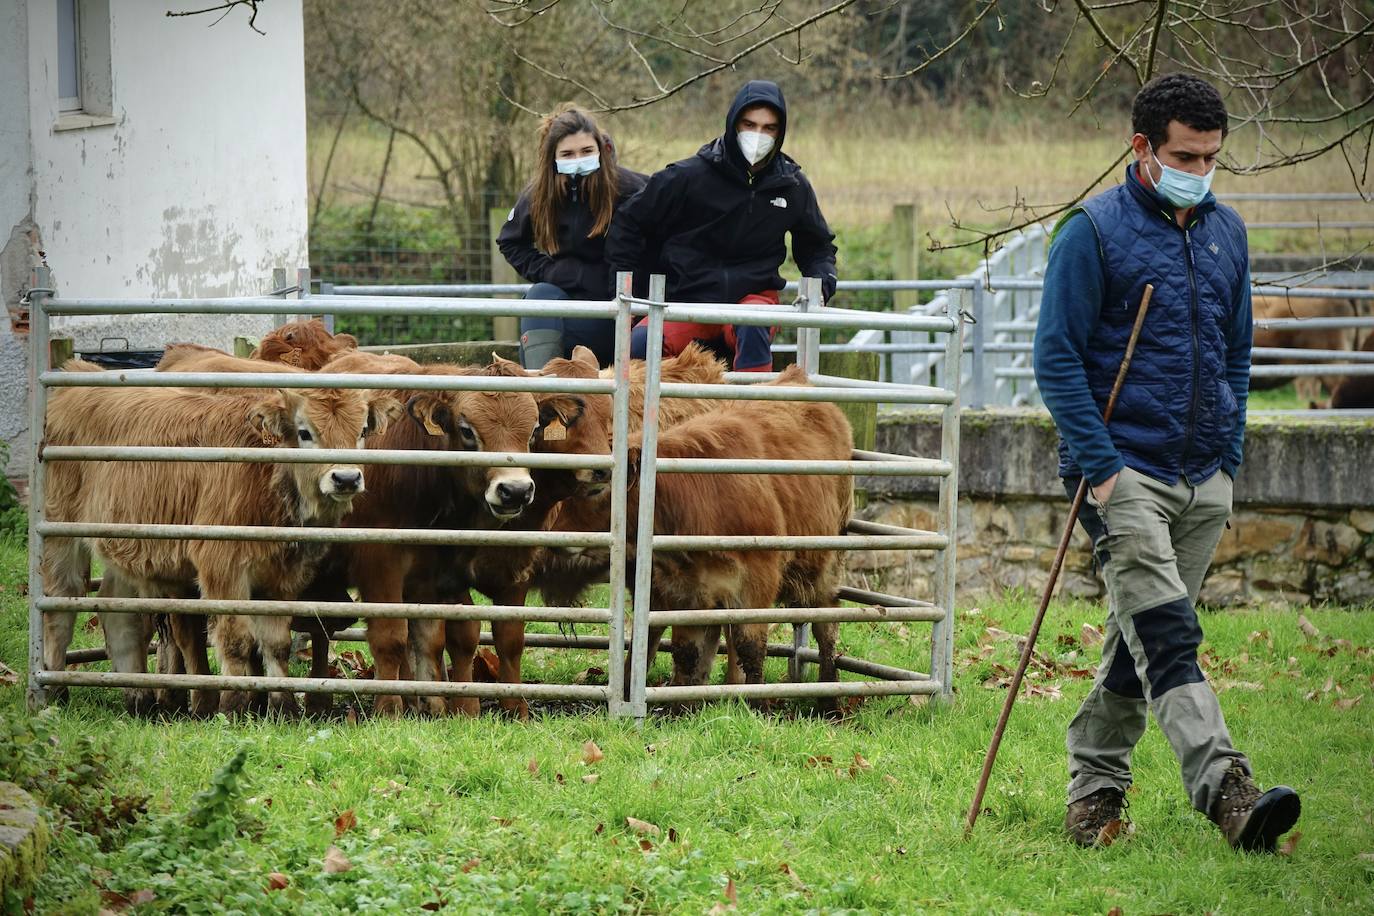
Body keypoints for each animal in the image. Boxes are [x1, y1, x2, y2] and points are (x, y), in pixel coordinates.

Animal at [42, 357, 398, 714]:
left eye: (361, 430)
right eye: (304, 432)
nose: (346, 478)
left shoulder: (282, 578)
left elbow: (276, 643)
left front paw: (283, 706)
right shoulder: (223, 569)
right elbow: (236, 640)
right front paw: (233, 704)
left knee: (121, 615)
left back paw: (139, 698)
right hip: (61, 535)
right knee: (60, 605)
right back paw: (54, 692)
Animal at [549, 368, 851, 708]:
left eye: (597, 488)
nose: (556, 537)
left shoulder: (756, 582)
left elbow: (750, 646)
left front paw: (758, 703)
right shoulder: (684, 590)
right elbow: (687, 651)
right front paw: (683, 705)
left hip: (826, 563)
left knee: (827, 624)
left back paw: (829, 699)